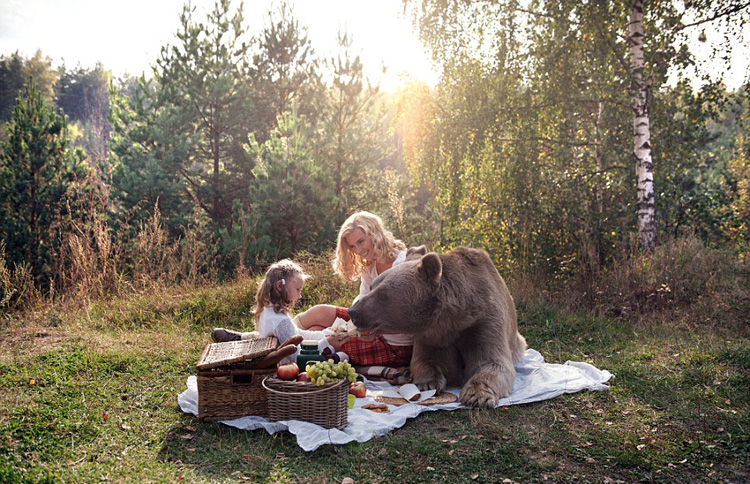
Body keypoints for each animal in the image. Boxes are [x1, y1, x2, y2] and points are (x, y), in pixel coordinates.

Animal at [348, 246, 528, 408]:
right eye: (372, 286)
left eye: (383, 294)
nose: (353, 312)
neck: (454, 318)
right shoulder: (433, 334)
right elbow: (426, 359)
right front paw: (428, 383)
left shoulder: (484, 320)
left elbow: (492, 361)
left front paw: (476, 396)